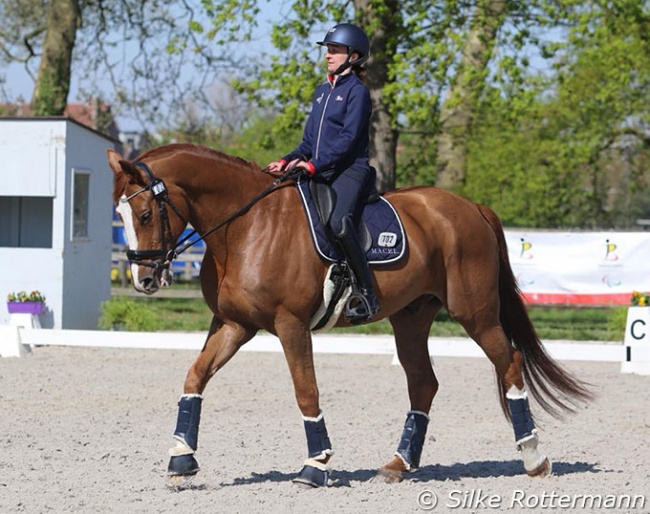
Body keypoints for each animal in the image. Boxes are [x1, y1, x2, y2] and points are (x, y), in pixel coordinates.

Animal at [109, 143, 588, 484]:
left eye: (146, 213)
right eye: (120, 214)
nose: (143, 279)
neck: (246, 227)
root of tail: (471, 207)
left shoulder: (290, 325)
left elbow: (306, 391)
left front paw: (315, 465)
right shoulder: (234, 323)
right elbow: (195, 377)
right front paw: (181, 459)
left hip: (477, 313)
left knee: (509, 363)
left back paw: (535, 458)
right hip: (411, 317)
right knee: (424, 383)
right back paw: (398, 464)